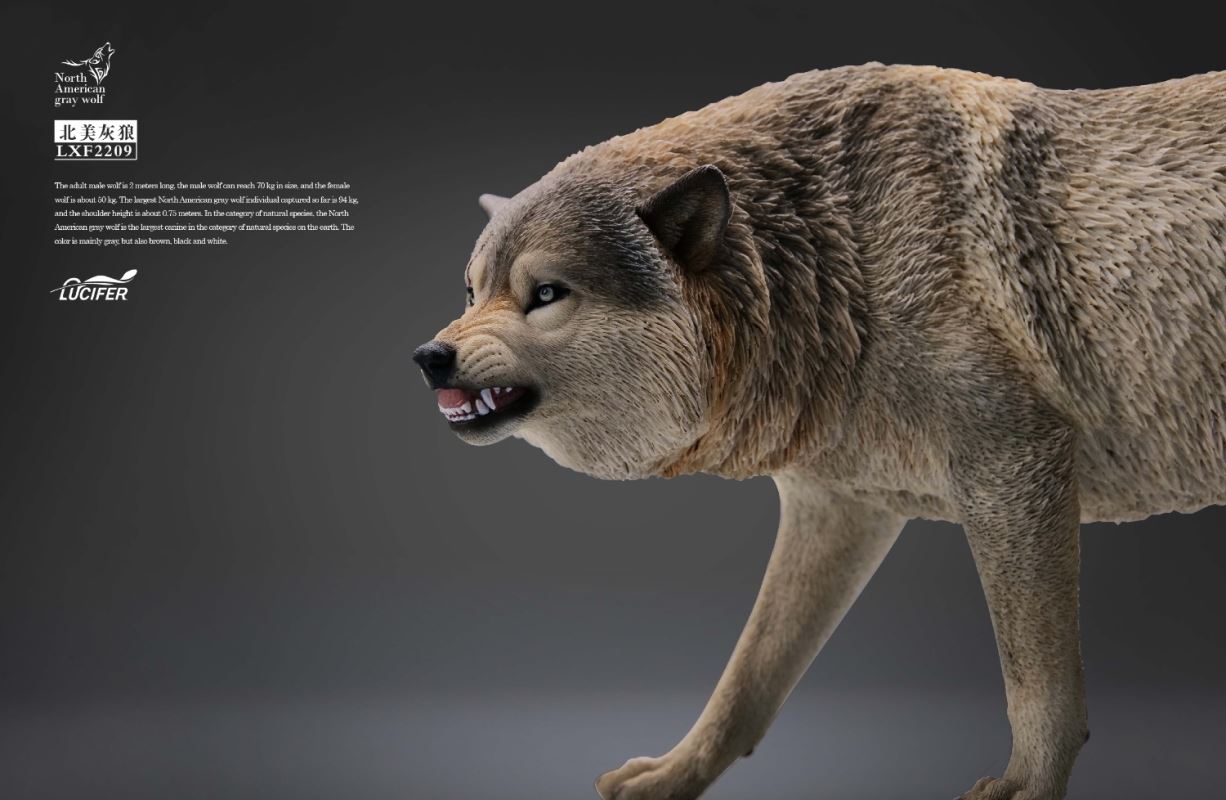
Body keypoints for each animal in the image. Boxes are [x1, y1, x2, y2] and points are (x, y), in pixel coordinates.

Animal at [413, 63, 1226, 800]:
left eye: (545, 294)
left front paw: (1027, 786)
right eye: (472, 290)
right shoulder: (837, 508)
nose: (429, 356)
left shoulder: (1015, 468)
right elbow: (746, 680)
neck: (842, 254)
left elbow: (1037, 678)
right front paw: (674, 775)